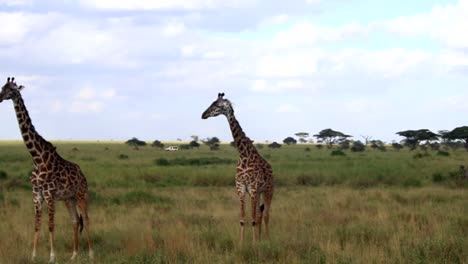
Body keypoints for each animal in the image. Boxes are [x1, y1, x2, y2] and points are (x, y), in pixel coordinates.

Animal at [0, 77, 93, 262]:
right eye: (2, 87)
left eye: (12, 90)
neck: (37, 159)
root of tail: (82, 174)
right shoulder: (36, 195)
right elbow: (37, 225)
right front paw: (33, 256)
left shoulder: (49, 195)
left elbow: (50, 225)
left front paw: (52, 257)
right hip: (68, 198)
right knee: (75, 221)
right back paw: (74, 255)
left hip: (81, 194)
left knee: (86, 219)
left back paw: (91, 254)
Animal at [202, 92, 274, 243]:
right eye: (212, 103)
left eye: (217, 105)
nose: (203, 114)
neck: (243, 155)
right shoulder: (241, 188)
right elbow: (243, 219)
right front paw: (243, 244)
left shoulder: (252, 188)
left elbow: (252, 219)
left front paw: (253, 245)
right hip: (259, 193)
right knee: (259, 214)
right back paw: (261, 240)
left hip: (268, 190)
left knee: (266, 215)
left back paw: (268, 240)